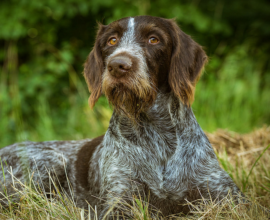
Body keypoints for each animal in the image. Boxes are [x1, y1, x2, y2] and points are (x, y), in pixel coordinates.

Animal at [0, 15, 245, 218]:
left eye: (154, 39)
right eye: (112, 41)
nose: (118, 65)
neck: (157, 133)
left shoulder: (228, 196)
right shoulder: (121, 201)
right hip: (50, 160)